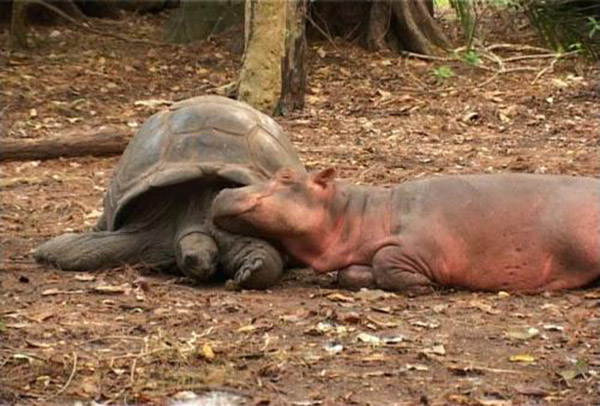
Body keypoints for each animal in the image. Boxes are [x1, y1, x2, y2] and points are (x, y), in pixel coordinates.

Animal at [212, 167, 600, 294]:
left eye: (286, 176)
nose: (223, 191)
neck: (360, 214)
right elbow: (350, 272)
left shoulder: (422, 242)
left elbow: (387, 259)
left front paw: (423, 285)